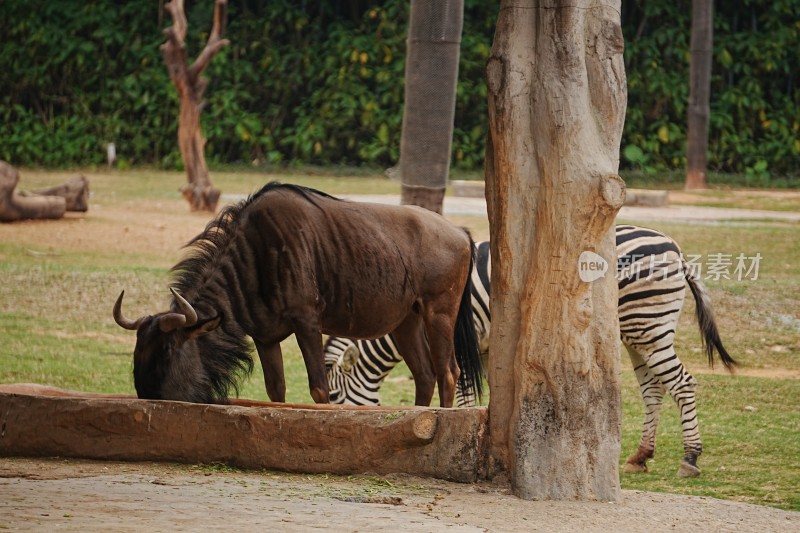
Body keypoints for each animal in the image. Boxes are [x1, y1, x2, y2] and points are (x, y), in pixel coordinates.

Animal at [322, 227, 736, 476]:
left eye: (334, 398)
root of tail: (674, 247)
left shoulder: (462, 342)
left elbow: (462, 392)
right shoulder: (482, 347)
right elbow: (477, 394)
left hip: (647, 322)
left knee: (682, 383)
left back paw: (690, 458)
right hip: (640, 330)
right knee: (653, 388)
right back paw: (640, 455)